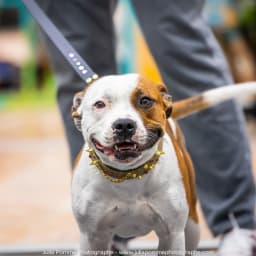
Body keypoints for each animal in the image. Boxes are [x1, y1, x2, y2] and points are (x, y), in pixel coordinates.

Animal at [70, 73, 256, 255]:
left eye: (145, 101)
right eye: (99, 104)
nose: (123, 124)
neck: (128, 175)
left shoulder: (172, 235)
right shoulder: (92, 238)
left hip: (192, 227)